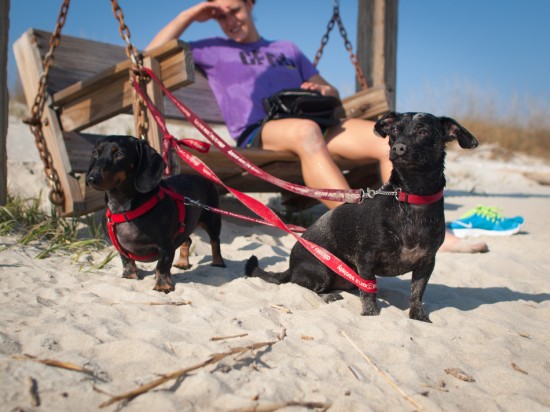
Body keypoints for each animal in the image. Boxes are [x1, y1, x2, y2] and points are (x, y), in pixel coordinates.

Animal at [87, 135, 225, 292]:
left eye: (119, 154)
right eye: (95, 153)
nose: (91, 178)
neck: (124, 207)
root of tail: (201, 177)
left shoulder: (166, 245)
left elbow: (162, 266)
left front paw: (163, 285)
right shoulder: (119, 246)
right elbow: (127, 260)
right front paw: (130, 276)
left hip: (212, 220)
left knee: (215, 241)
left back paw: (218, 262)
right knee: (187, 240)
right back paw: (183, 262)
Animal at [248, 112, 480, 322]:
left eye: (424, 132)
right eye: (394, 130)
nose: (398, 148)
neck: (410, 198)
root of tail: (290, 266)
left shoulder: (426, 263)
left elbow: (417, 292)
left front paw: (418, 315)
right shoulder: (365, 259)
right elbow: (369, 291)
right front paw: (370, 313)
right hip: (321, 271)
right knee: (302, 285)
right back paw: (327, 295)